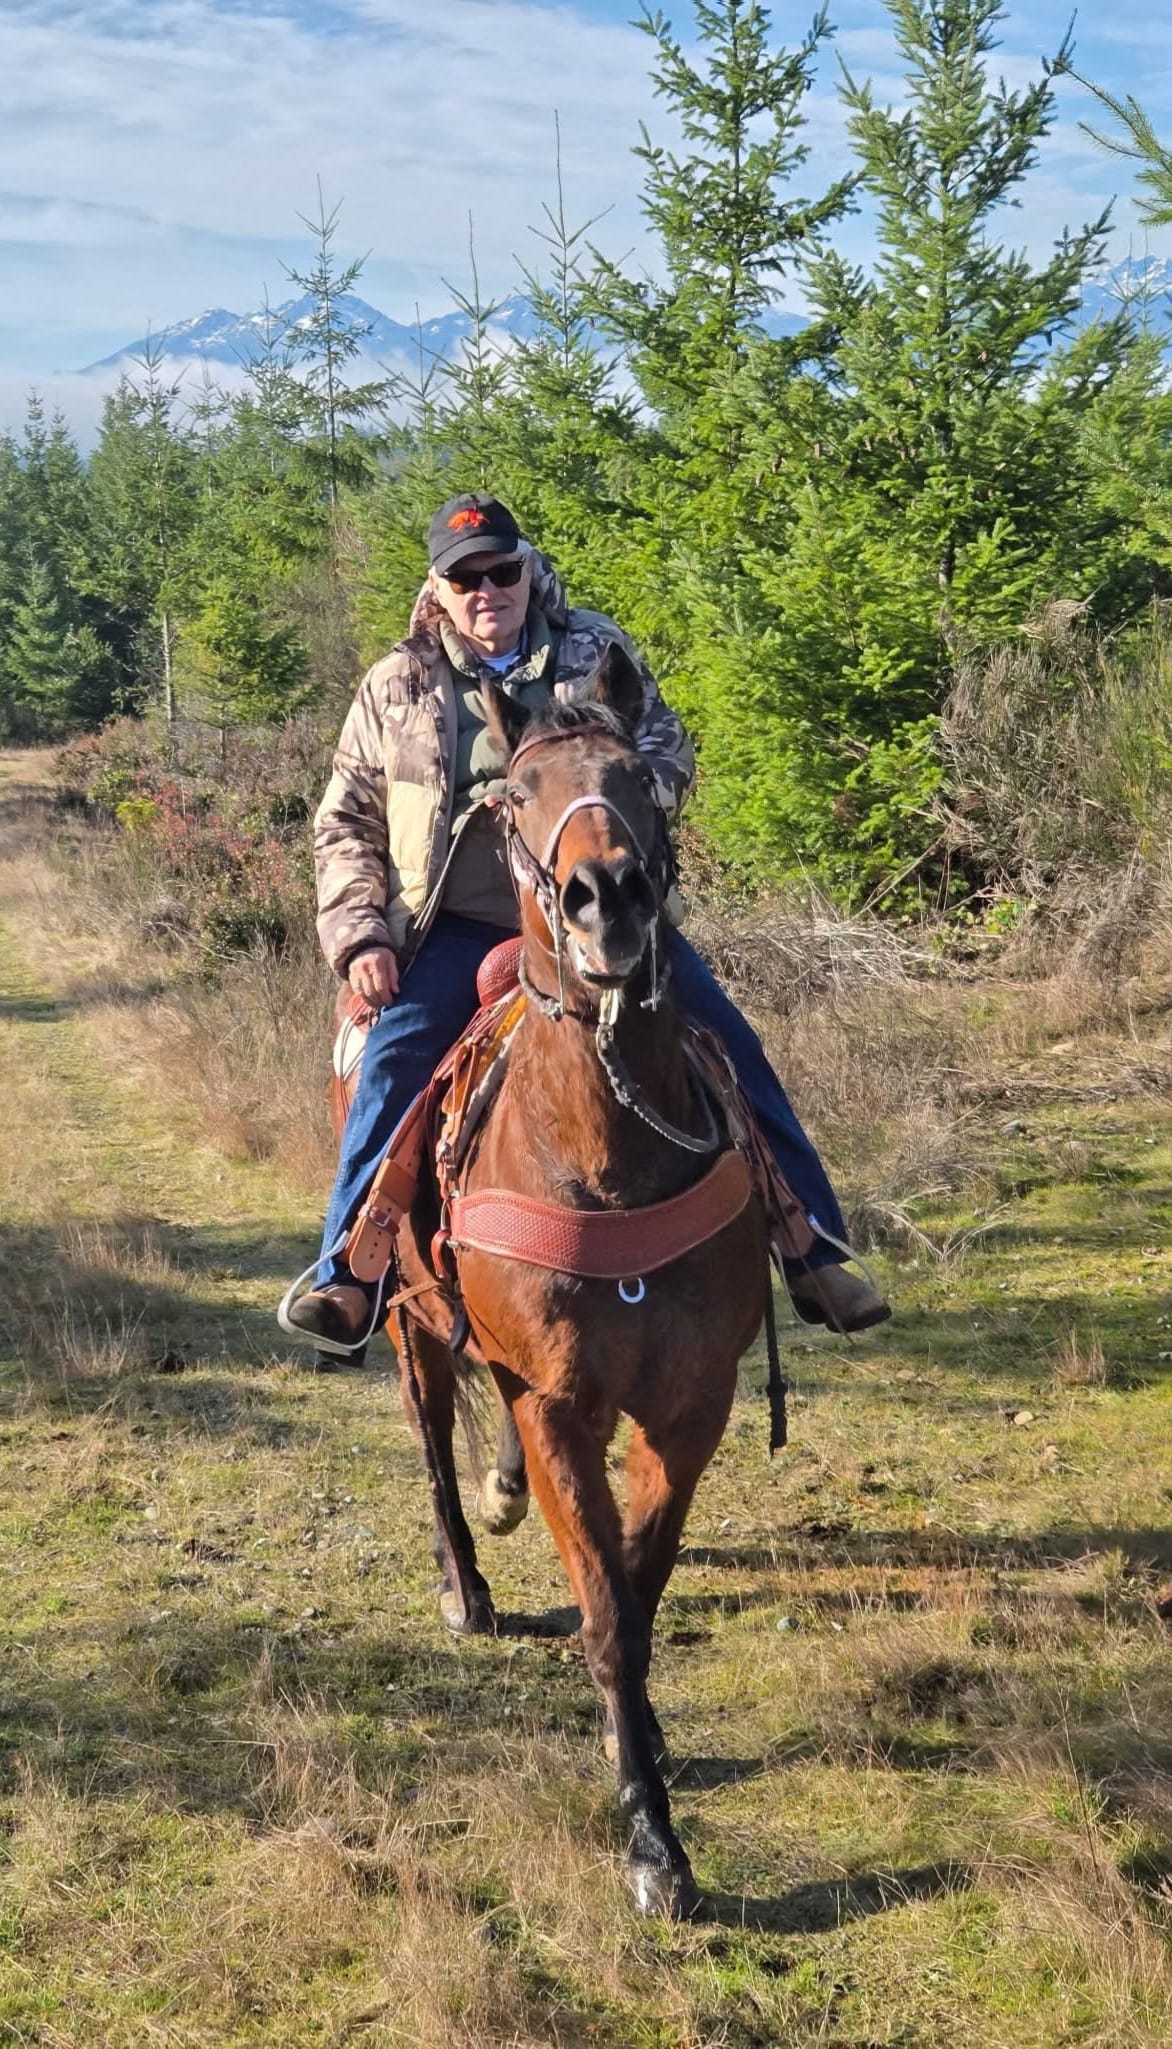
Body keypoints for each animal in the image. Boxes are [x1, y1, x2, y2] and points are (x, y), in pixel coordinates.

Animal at [386, 643, 772, 1918]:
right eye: (514, 796)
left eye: (642, 778)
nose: (608, 896)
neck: (606, 1159)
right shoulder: (555, 1403)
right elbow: (603, 1613)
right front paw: (651, 1840)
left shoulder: (689, 1405)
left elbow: (637, 1593)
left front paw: (640, 1755)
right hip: (410, 1329)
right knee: (433, 1451)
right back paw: (465, 1582)